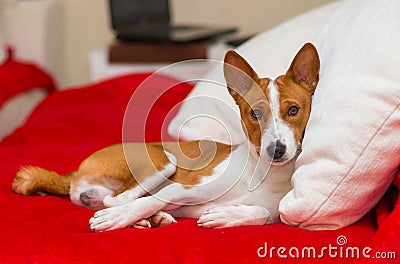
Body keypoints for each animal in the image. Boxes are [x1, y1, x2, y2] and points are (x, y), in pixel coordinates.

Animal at [11, 43, 318, 231]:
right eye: (255, 114)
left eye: (293, 110)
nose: (276, 150)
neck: (259, 174)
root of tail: (74, 171)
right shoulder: (182, 187)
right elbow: (148, 200)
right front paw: (120, 218)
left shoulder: (274, 210)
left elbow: (262, 213)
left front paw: (226, 215)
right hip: (163, 160)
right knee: (120, 200)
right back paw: (135, 215)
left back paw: (154, 219)